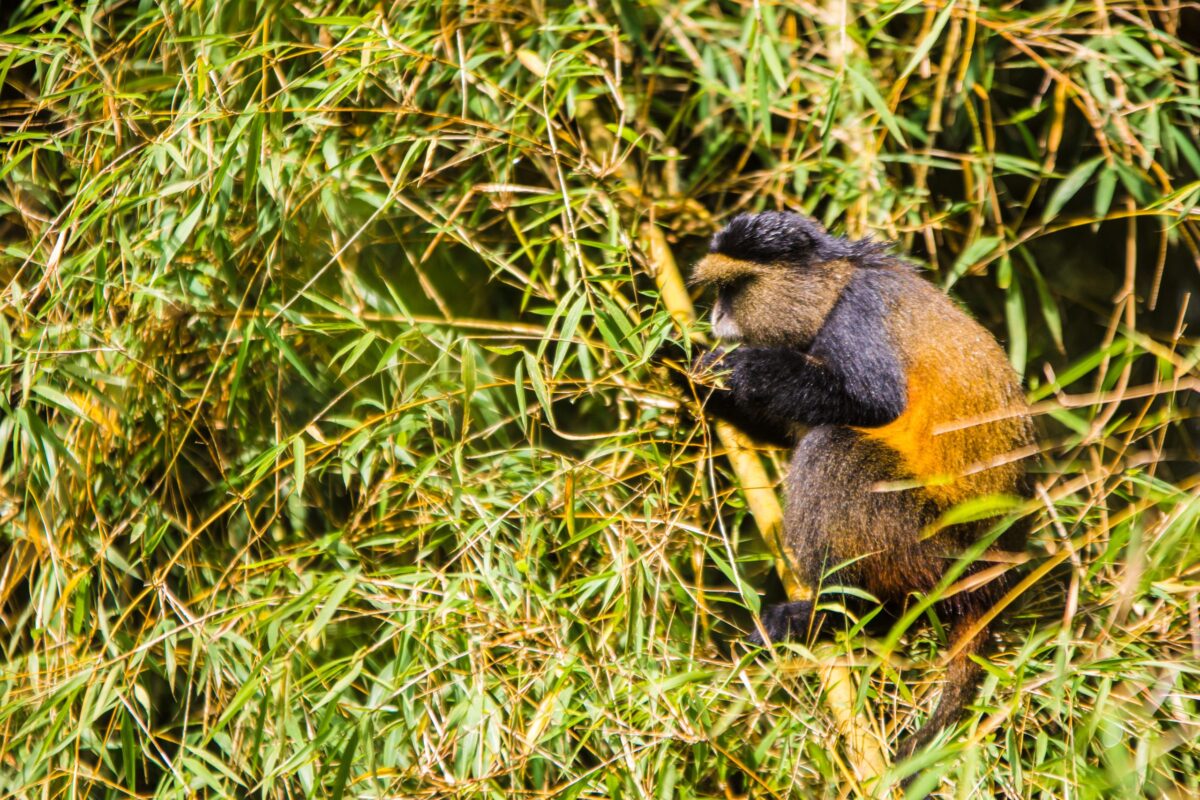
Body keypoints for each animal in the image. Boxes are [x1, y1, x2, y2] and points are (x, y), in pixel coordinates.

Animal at [664, 211, 1035, 766]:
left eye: (734, 287)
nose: (715, 317)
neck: (836, 282)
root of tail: (989, 582)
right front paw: (691, 377)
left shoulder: (856, 316)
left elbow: (869, 403)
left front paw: (738, 365)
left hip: (922, 543)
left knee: (833, 448)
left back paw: (835, 609)